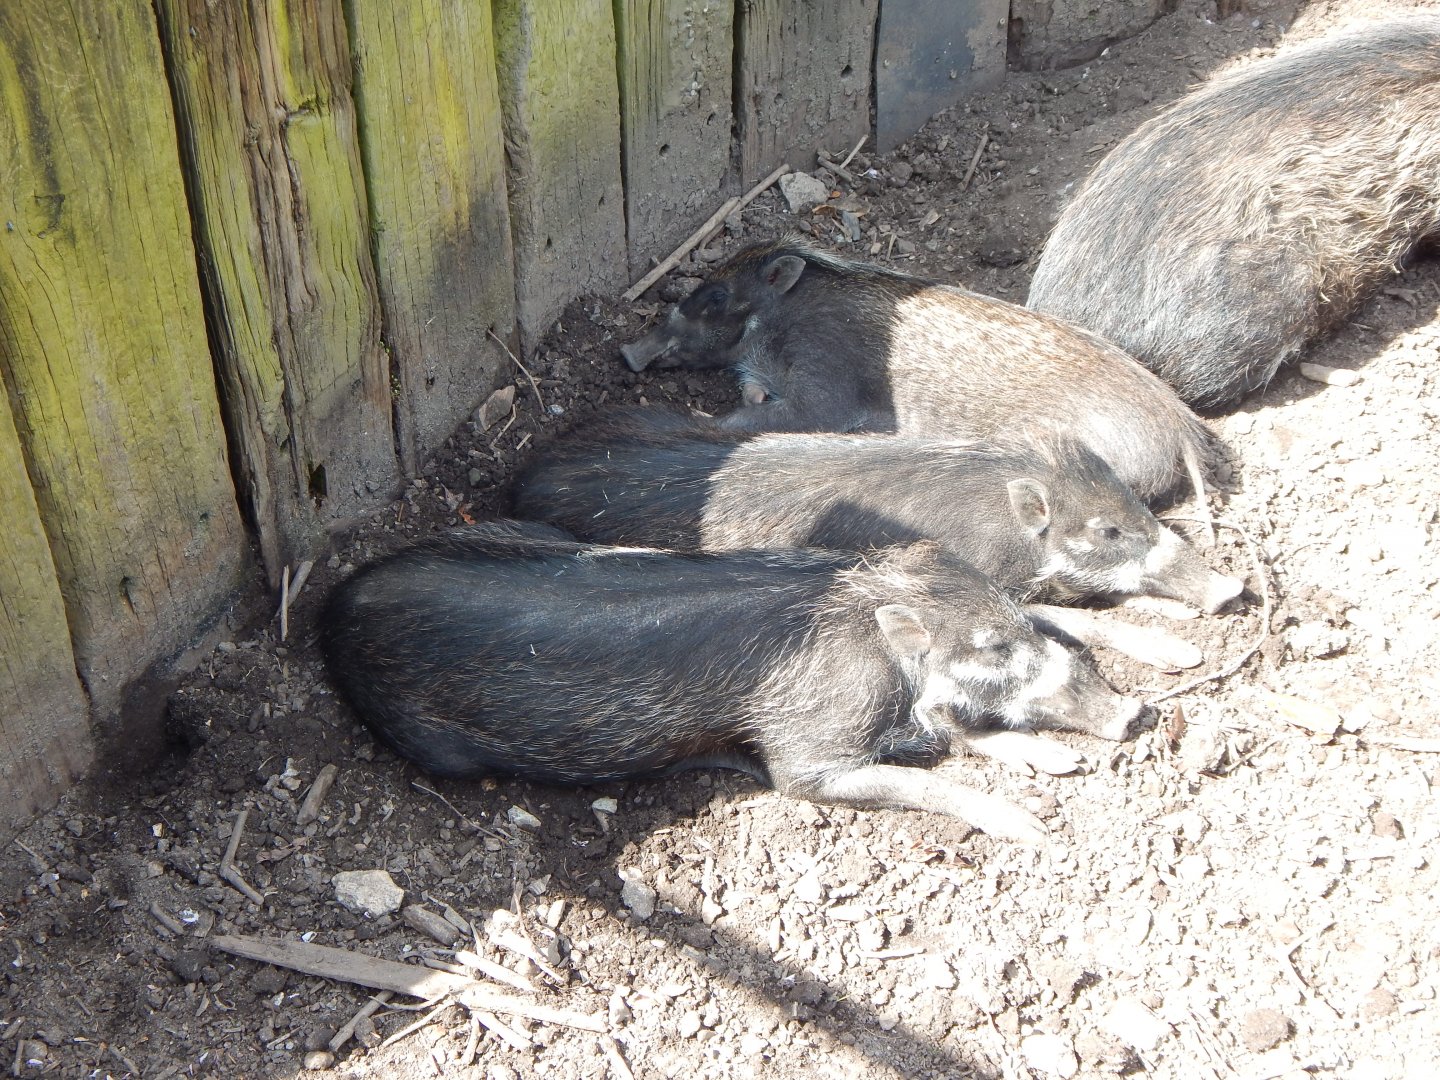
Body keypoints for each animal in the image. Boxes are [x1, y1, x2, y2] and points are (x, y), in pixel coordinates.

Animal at [319, 520, 1147, 843]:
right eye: (991, 647)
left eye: (1011, 621)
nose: (1133, 713)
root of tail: (337, 601)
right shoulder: (805, 759)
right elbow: (925, 776)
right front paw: (1033, 826)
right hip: (434, 744)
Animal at [620, 238, 1212, 505]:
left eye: (717, 297)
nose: (628, 353)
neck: (783, 317)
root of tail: (1182, 429)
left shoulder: (825, 385)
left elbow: (750, 421)